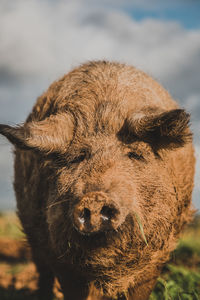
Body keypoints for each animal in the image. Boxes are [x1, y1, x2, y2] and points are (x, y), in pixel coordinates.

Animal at [0, 61, 195, 300]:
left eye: (135, 154)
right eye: (77, 157)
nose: (95, 197)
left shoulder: (159, 252)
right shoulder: (60, 256)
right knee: (42, 270)